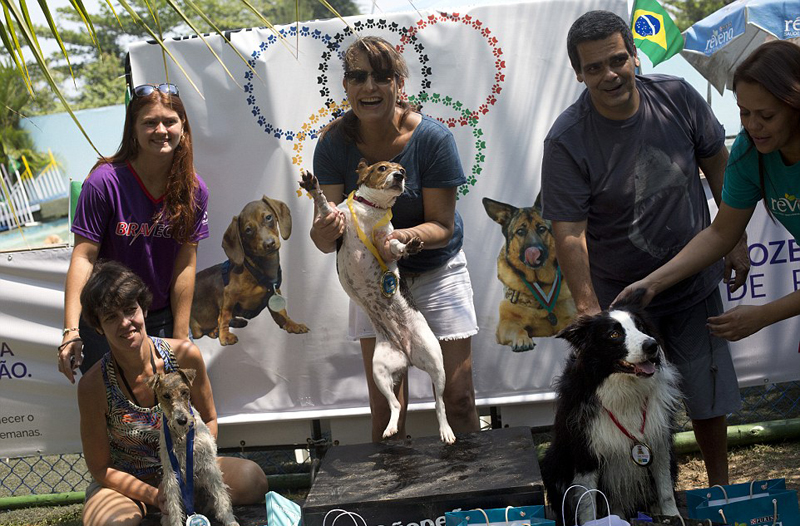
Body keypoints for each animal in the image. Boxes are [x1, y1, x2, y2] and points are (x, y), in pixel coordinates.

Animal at [148, 372, 239, 526]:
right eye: (166, 395)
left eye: (185, 392)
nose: (182, 420)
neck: (182, 436)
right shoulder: (172, 472)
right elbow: (174, 506)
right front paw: (176, 523)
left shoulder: (209, 465)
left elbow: (222, 498)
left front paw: (230, 521)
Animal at [302, 161, 456, 446]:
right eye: (382, 168)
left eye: (403, 169)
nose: (399, 176)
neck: (371, 211)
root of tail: (407, 354)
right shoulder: (337, 222)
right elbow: (324, 206)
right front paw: (313, 187)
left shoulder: (385, 244)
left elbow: (394, 246)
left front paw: (409, 246)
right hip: (379, 372)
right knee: (395, 405)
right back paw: (391, 428)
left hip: (436, 365)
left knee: (439, 404)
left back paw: (446, 431)